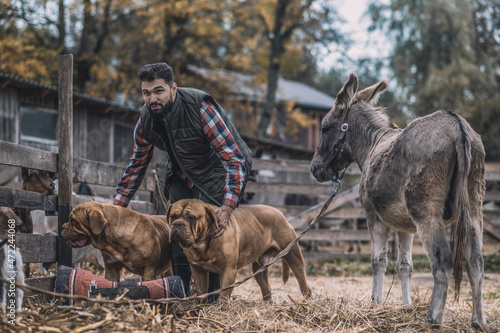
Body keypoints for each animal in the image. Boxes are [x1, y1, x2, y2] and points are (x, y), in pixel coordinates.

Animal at [166, 198, 310, 300]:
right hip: (259, 268)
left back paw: (306, 302)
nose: (177, 224)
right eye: (173, 216)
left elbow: (224, 295)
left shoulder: (228, 270)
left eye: (191, 218)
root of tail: (280, 213)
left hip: (293, 254)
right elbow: (202, 293)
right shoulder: (198, 270)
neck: (202, 244)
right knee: (266, 288)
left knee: (302, 280)